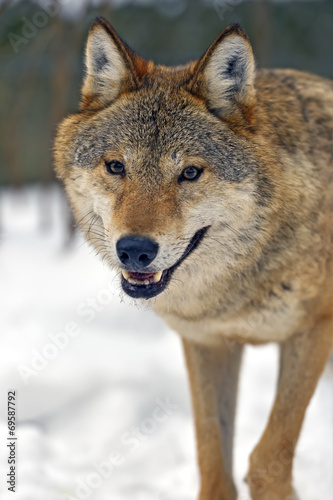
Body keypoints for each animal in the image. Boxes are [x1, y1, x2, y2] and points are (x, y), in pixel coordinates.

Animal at [53, 17, 330, 500]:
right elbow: (213, 464)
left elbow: (267, 462)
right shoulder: (206, 342)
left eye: (190, 173)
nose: (135, 249)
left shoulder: (312, 330)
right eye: (116, 167)